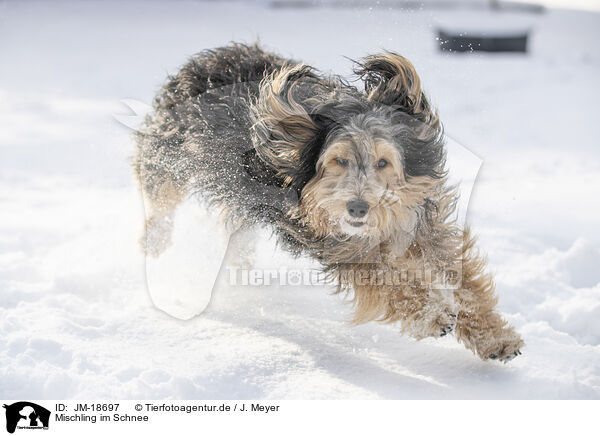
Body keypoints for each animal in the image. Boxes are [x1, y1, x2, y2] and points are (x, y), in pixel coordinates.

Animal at [134, 43, 524, 362]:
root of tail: (207, 59)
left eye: (383, 162)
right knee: (158, 196)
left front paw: (494, 337)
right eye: (339, 160)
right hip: (169, 155)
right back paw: (156, 241)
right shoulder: (343, 248)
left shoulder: (425, 228)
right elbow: (388, 283)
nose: (357, 208)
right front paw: (431, 315)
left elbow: (465, 281)